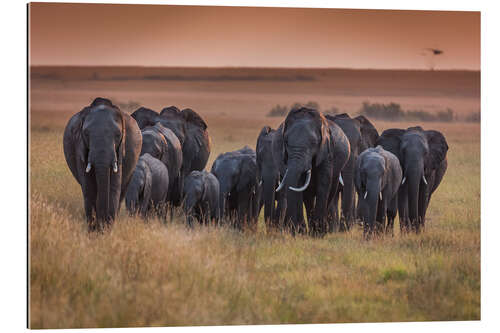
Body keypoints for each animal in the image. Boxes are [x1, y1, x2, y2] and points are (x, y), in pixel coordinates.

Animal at [63, 97, 143, 230]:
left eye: (118, 135)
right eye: (86, 134)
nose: (102, 223)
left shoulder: (120, 151)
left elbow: (114, 186)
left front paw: (106, 229)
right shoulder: (79, 146)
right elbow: (88, 187)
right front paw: (93, 229)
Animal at [278, 107, 336, 236]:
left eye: (313, 143)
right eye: (286, 142)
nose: (292, 230)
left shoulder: (326, 153)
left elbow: (323, 184)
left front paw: (319, 233)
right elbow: (298, 185)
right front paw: (301, 232)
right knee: (308, 197)